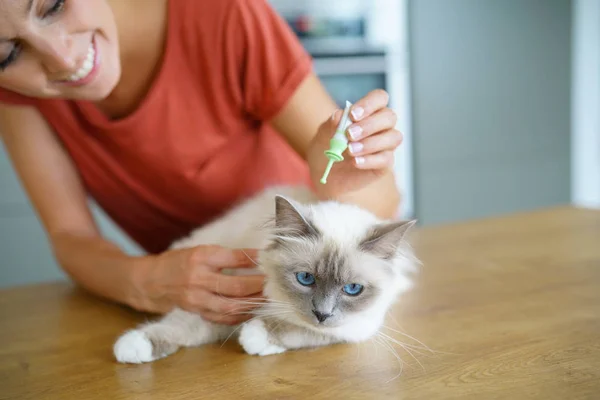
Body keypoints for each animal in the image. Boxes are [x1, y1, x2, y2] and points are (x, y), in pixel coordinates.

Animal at [115, 186, 420, 364]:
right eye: (305, 279)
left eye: (353, 289)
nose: (322, 314)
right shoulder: (223, 303)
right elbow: (177, 326)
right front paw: (132, 347)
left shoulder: (354, 328)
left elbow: (301, 330)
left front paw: (255, 337)